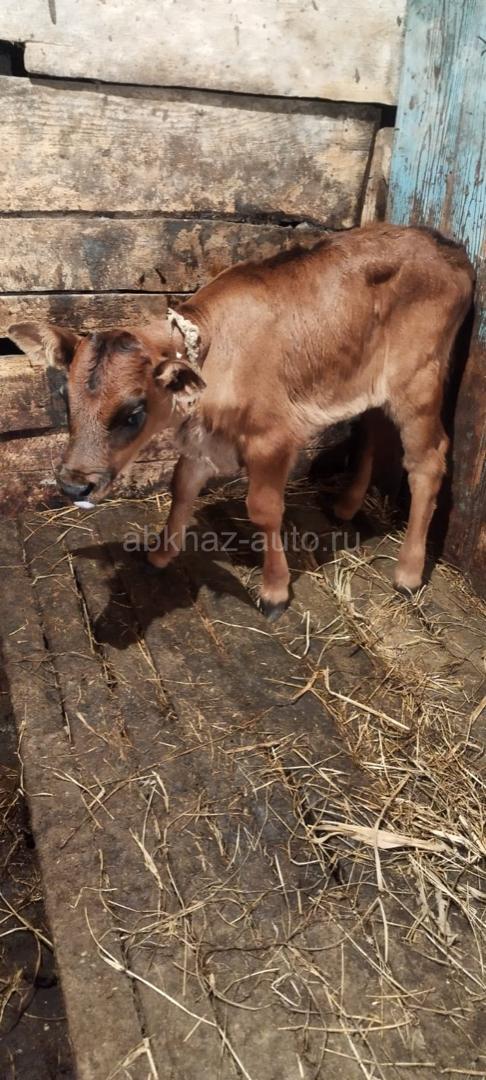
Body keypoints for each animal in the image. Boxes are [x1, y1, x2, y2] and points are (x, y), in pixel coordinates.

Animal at [10, 224, 474, 619]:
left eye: (134, 412)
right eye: (65, 398)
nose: (73, 486)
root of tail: (448, 245)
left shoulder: (271, 439)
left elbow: (263, 510)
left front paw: (275, 591)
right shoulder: (202, 440)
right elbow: (181, 488)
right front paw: (161, 552)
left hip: (419, 381)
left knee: (428, 461)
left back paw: (408, 573)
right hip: (372, 379)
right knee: (373, 427)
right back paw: (345, 506)